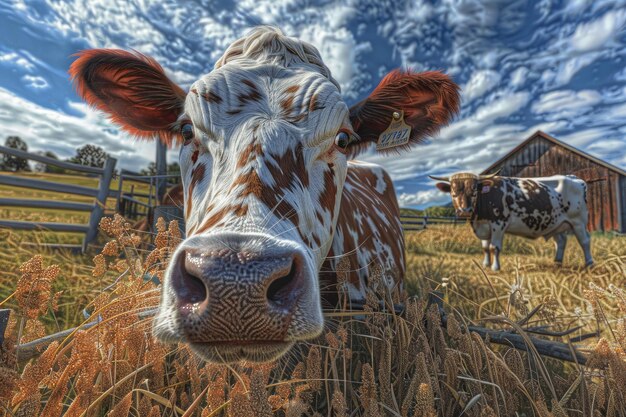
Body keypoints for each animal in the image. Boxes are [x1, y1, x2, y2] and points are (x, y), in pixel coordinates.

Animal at [428, 171, 588, 270]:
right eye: (453, 193)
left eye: (474, 191)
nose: (464, 211)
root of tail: (574, 178)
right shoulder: (484, 226)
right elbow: (485, 247)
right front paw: (486, 265)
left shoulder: (498, 224)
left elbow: (494, 247)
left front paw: (495, 268)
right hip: (556, 223)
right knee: (561, 241)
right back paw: (557, 262)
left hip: (578, 221)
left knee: (585, 241)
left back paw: (589, 264)